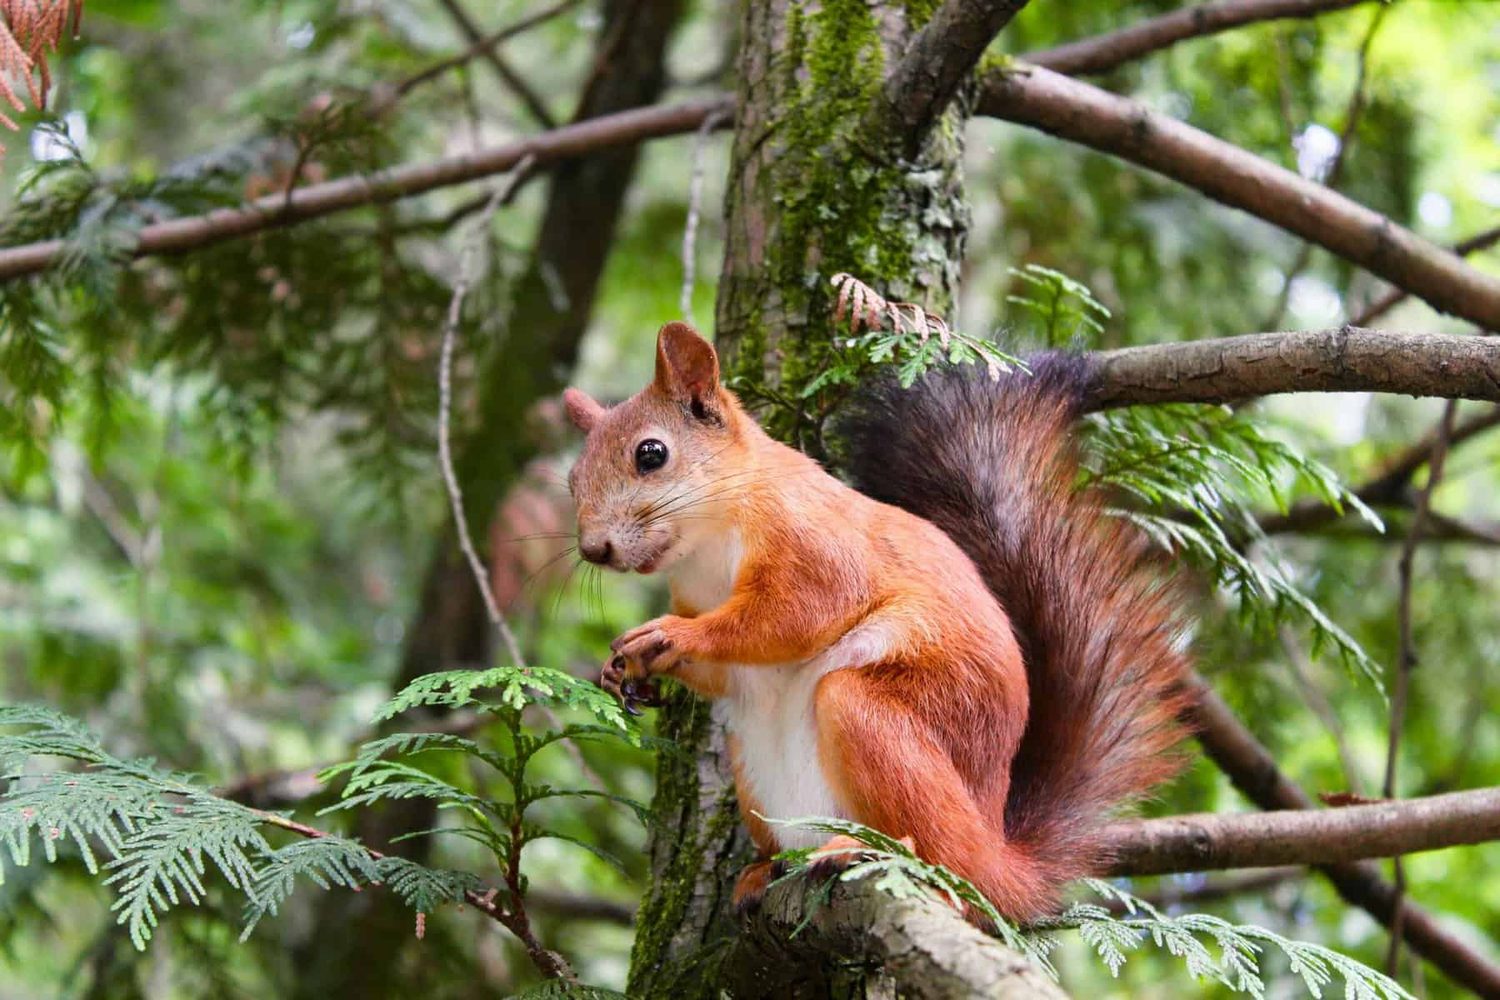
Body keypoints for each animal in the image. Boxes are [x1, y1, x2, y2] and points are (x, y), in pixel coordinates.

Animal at [562, 320, 1192, 920]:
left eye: (651, 454)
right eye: (571, 479)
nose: (594, 550)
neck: (708, 542)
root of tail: (999, 857)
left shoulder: (814, 542)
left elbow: (793, 615)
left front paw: (671, 635)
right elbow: (726, 671)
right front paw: (625, 671)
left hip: (879, 718)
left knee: (945, 863)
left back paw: (868, 851)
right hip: (754, 770)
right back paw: (764, 870)